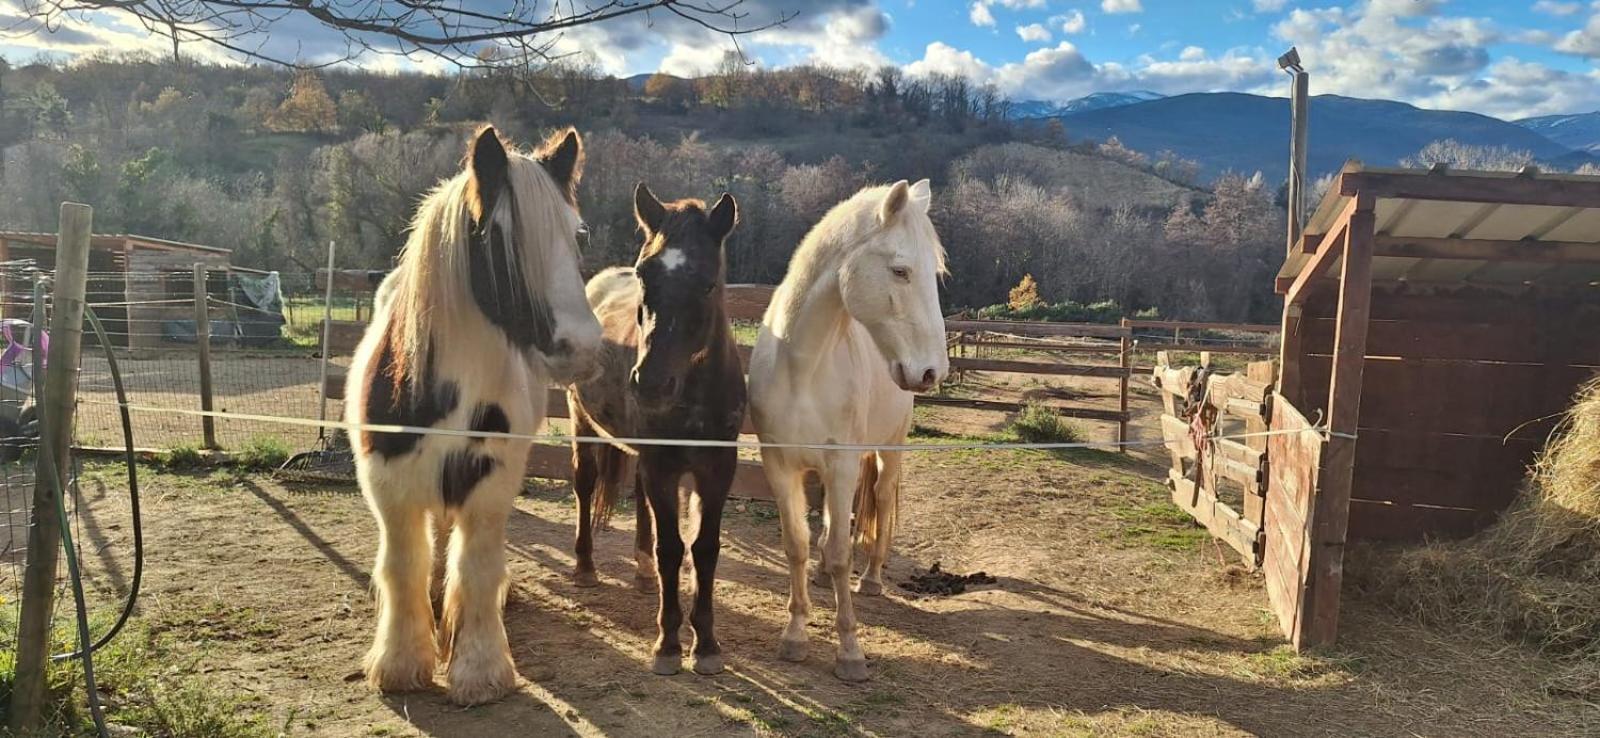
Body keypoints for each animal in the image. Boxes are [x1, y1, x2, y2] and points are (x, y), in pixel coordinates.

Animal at [347, 124, 601, 701]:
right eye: (497, 236)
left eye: (579, 236)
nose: (582, 349)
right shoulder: (388, 483)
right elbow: (403, 564)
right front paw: (400, 662)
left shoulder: (489, 479)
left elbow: (478, 567)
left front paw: (480, 669)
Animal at [563, 182, 742, 672]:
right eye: (645, 275)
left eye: (707, 283)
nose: (651, 383)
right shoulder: (663, 464)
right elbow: (672, 549)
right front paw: (668, 643)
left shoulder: (717, 469)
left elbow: (705, 548)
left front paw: (707, 643)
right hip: (582, 422)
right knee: (585, 484)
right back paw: (585, 568)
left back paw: (642, 574)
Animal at [748, 178, 947, 678]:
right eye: (900, 271)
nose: (932, 371)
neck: (802, 368)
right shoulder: (780, 466)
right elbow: (797, 544)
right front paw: (795, 634)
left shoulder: (841, 464)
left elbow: (842, 550)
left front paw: (849, 651)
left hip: (888, 450)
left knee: (878, 501)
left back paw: (871, 580)